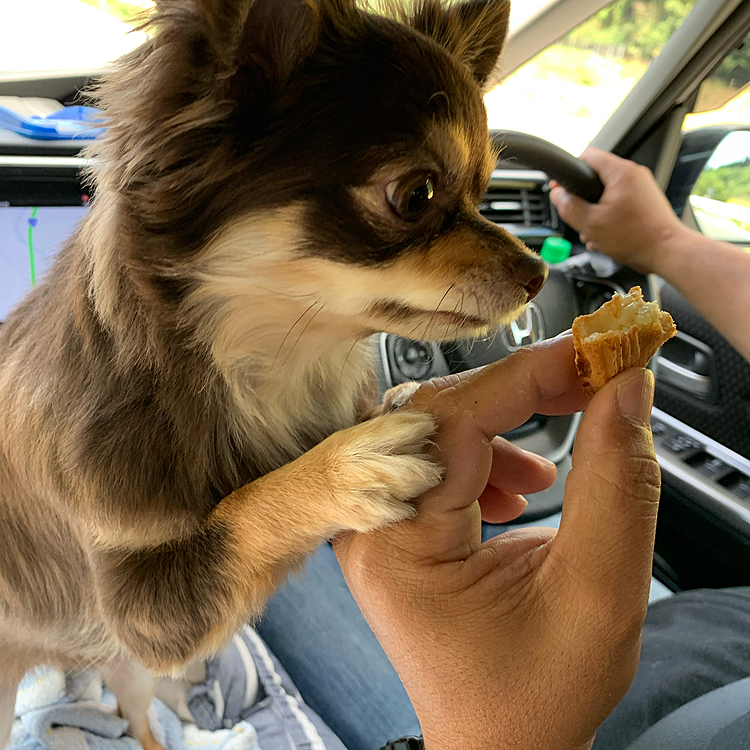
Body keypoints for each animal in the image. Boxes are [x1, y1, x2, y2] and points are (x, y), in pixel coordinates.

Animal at [1, 0, 548, 748]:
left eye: (485, 189)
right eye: (416, 195)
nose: (539, 273)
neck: (269, 364)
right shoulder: (143, 610)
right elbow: (238, 513)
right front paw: (343, 470)